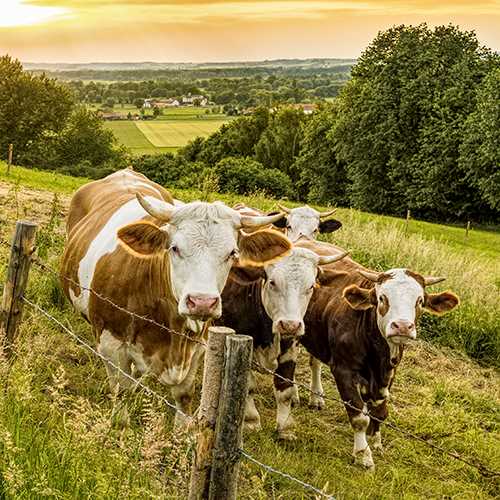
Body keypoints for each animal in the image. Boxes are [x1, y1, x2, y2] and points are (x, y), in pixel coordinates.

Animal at [60, 170, 292, 424]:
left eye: (232, 253)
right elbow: (120, 392)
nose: (202, 302)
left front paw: (182, 430)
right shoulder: (110, 343)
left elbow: (183, 394)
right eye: (174, 248)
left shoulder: (197, 348)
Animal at [219, 244, 348, 440]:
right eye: (272, 282)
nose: (290, 325)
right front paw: (251, 421)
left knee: (315, 362)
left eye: (311, 286)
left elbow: (284, 388)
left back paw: (315, 396)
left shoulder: (290, 346)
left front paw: (285, 428)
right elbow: (248, 386)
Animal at [296, 238, 460, 468]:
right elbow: (358, 415)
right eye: (382, 298)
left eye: (420, 301)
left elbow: (379, 412)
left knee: (315, 363)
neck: (378, 354)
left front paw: (376, 443)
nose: (402, 326)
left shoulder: (388, 373)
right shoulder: (343, 370)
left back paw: (315, 397)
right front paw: (363, 454)